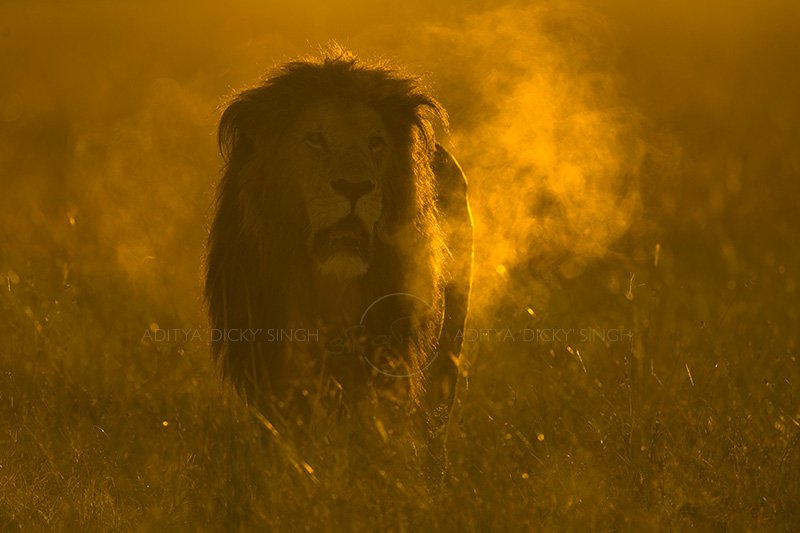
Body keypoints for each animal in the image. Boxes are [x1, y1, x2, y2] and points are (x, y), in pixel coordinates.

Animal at [205, 47, 476, 468]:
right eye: (315, 139)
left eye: (375, 143)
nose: (355, 187)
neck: (329, 285)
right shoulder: (269, 358)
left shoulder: (383, 354)